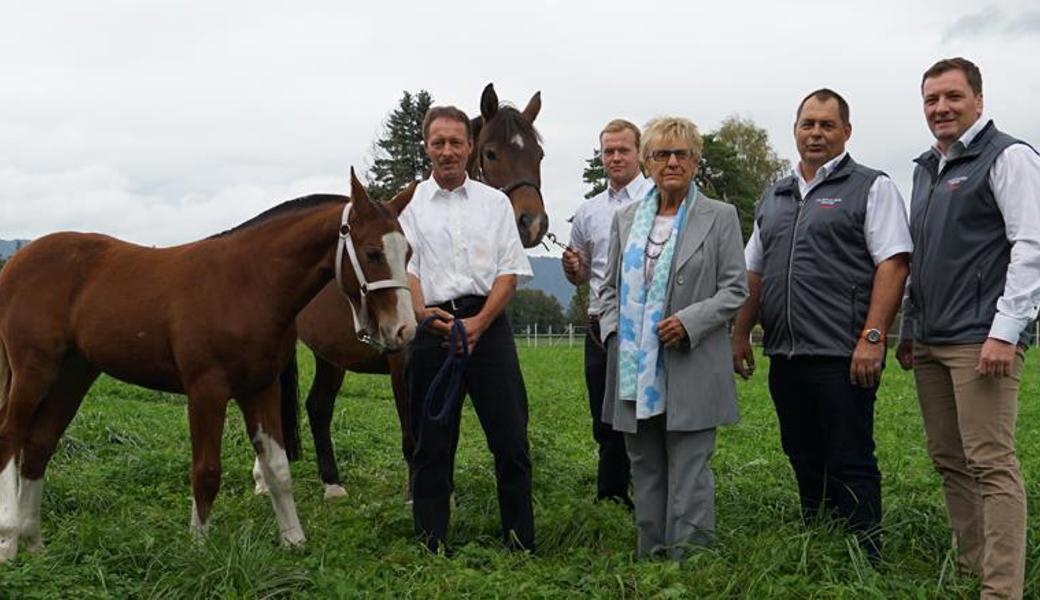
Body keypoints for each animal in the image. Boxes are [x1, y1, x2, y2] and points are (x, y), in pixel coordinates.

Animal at [0, 169, 413, 561]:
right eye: (373, 252)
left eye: (407, 252)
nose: (404, 329)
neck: (246, 284)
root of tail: (17, 260)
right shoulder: (206, 392)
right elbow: (206, 471)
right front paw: (198, 547)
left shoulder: (260, 388)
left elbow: (277, 468)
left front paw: (293, 540)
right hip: (33, 370)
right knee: (10, 436)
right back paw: (9, 541)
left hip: (73, 374)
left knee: (38, 444)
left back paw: (33, 541)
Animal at [253, 83, 544, 494]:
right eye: (491, 153)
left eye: (538, 154)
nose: (531, 223)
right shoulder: (402, 364)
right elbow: (413, 436)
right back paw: (263, 480)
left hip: (330, 355)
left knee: (318, 406)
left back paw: (332, 483)